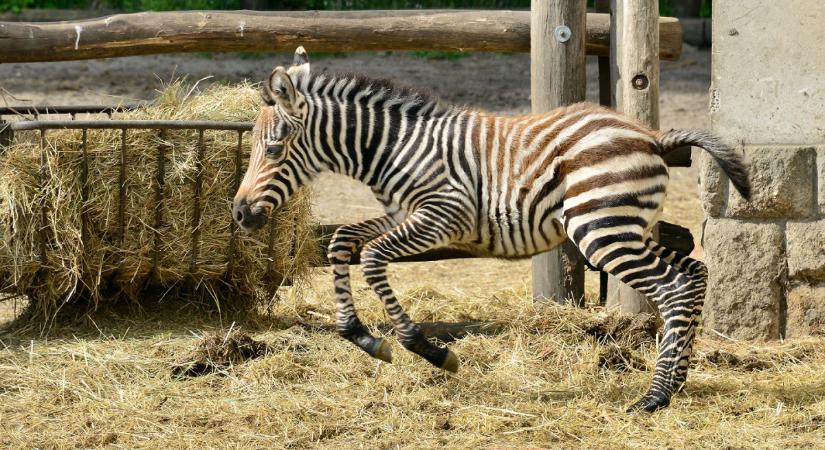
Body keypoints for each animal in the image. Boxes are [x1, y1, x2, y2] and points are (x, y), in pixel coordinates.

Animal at [230, 48, 748, 412]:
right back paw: (676, 383)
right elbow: (341, 243)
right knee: (695, 274)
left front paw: (428, 349)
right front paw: (362, 336)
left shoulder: (444, 214)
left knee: (673, 286)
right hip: (629, 229)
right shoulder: (400, 214)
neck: (393, 149)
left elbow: (373, 258)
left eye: (272, 149)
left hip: (601, 231)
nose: (238, 213)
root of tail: (652, 137)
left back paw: (654, 396)